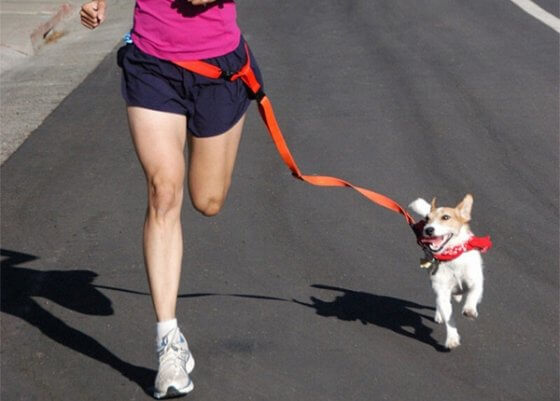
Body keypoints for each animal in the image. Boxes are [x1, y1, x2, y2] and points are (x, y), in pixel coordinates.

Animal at [410, 193, 492, 346]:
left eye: (446, 217)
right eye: (427, 218)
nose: (428, 229)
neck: (452, 258)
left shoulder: (476, 282)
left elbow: (473, 294)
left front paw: (470, 309)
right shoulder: (442, 291)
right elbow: (449, 316)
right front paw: (452, 338)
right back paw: (439, 314)